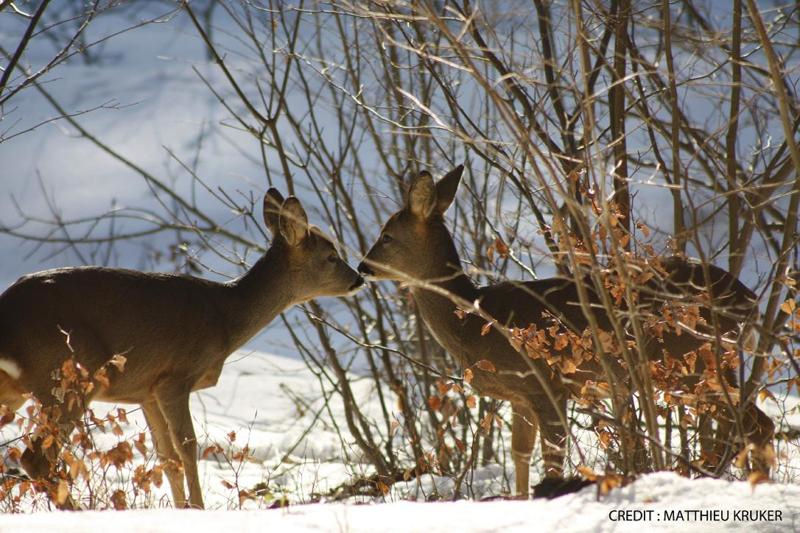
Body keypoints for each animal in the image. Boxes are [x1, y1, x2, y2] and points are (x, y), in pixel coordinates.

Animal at [0, 189, 362, 510]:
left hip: (19, 390)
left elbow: (166, 456)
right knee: (35, 456)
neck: (225, 319)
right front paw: (199, 508)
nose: (358, 278)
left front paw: (181, 509)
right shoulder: (175, 376)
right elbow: (189, 446)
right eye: (331, 257)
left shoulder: (145, 390)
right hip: (70, 371)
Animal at [360, 164, 772, 496]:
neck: (476, 319)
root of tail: (751, 300)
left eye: (387, 236)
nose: (363, 267)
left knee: (756, 424)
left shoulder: (547, 382)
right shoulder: (520, 395)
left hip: (695, 361)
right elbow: (520, 454)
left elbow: (552, 458)